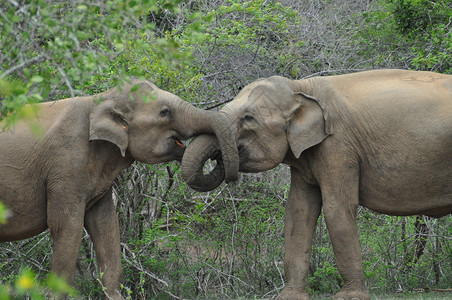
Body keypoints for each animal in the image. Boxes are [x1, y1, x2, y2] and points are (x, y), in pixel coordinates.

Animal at [0, 79, 238, 300]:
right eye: (165, 112)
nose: (218, 156)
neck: (101, 99)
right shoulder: (65, 166)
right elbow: (65, 226)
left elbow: (105, 224)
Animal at [181, 69, 452, 300]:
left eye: (247, 119)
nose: (219, 159)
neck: (301, 87)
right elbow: (298, 211)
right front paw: (289, 296)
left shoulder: (338, 145)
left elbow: (337, 209)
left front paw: (350, 297)